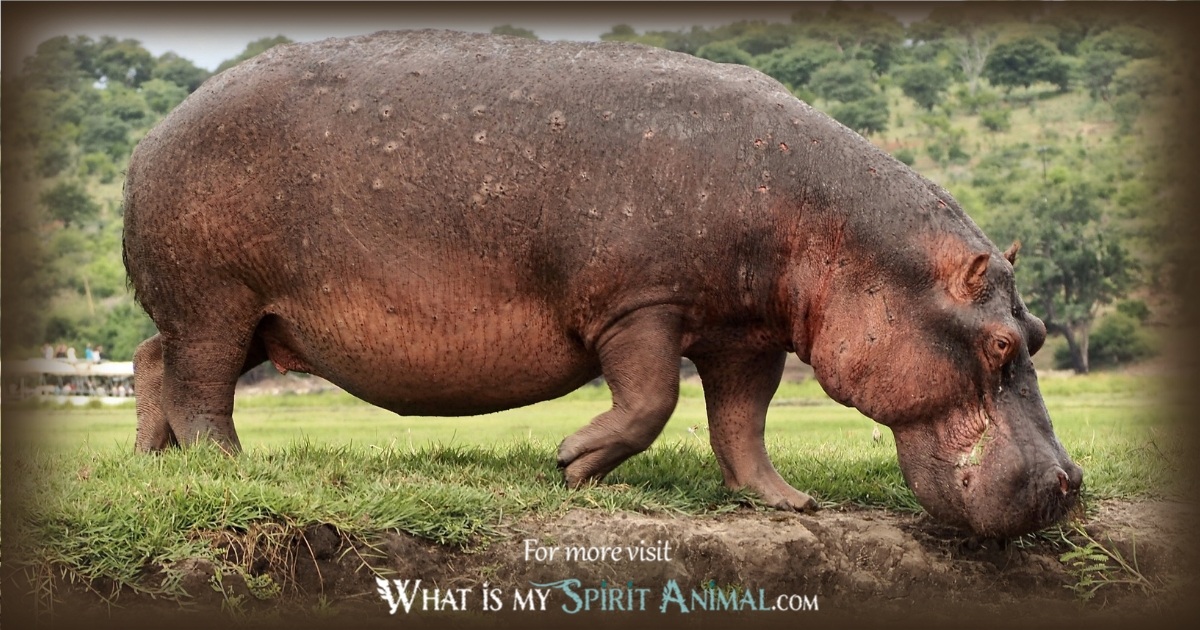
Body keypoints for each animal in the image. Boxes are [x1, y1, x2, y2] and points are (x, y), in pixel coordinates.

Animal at [123, 30, 1082, 538]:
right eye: (1001, 342)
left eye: (1038, 337)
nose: (1069, 482)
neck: (840, 234)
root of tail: (149, 139)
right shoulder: (640, 305)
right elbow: (654, 398)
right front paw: (574, 464)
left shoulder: (747, 333)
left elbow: (742, 423)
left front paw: (787, 502)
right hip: (216, 302)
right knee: (202, 387)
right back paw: (229, 469)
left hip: (244, 319)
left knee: (150, 363)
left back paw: (153, 464)